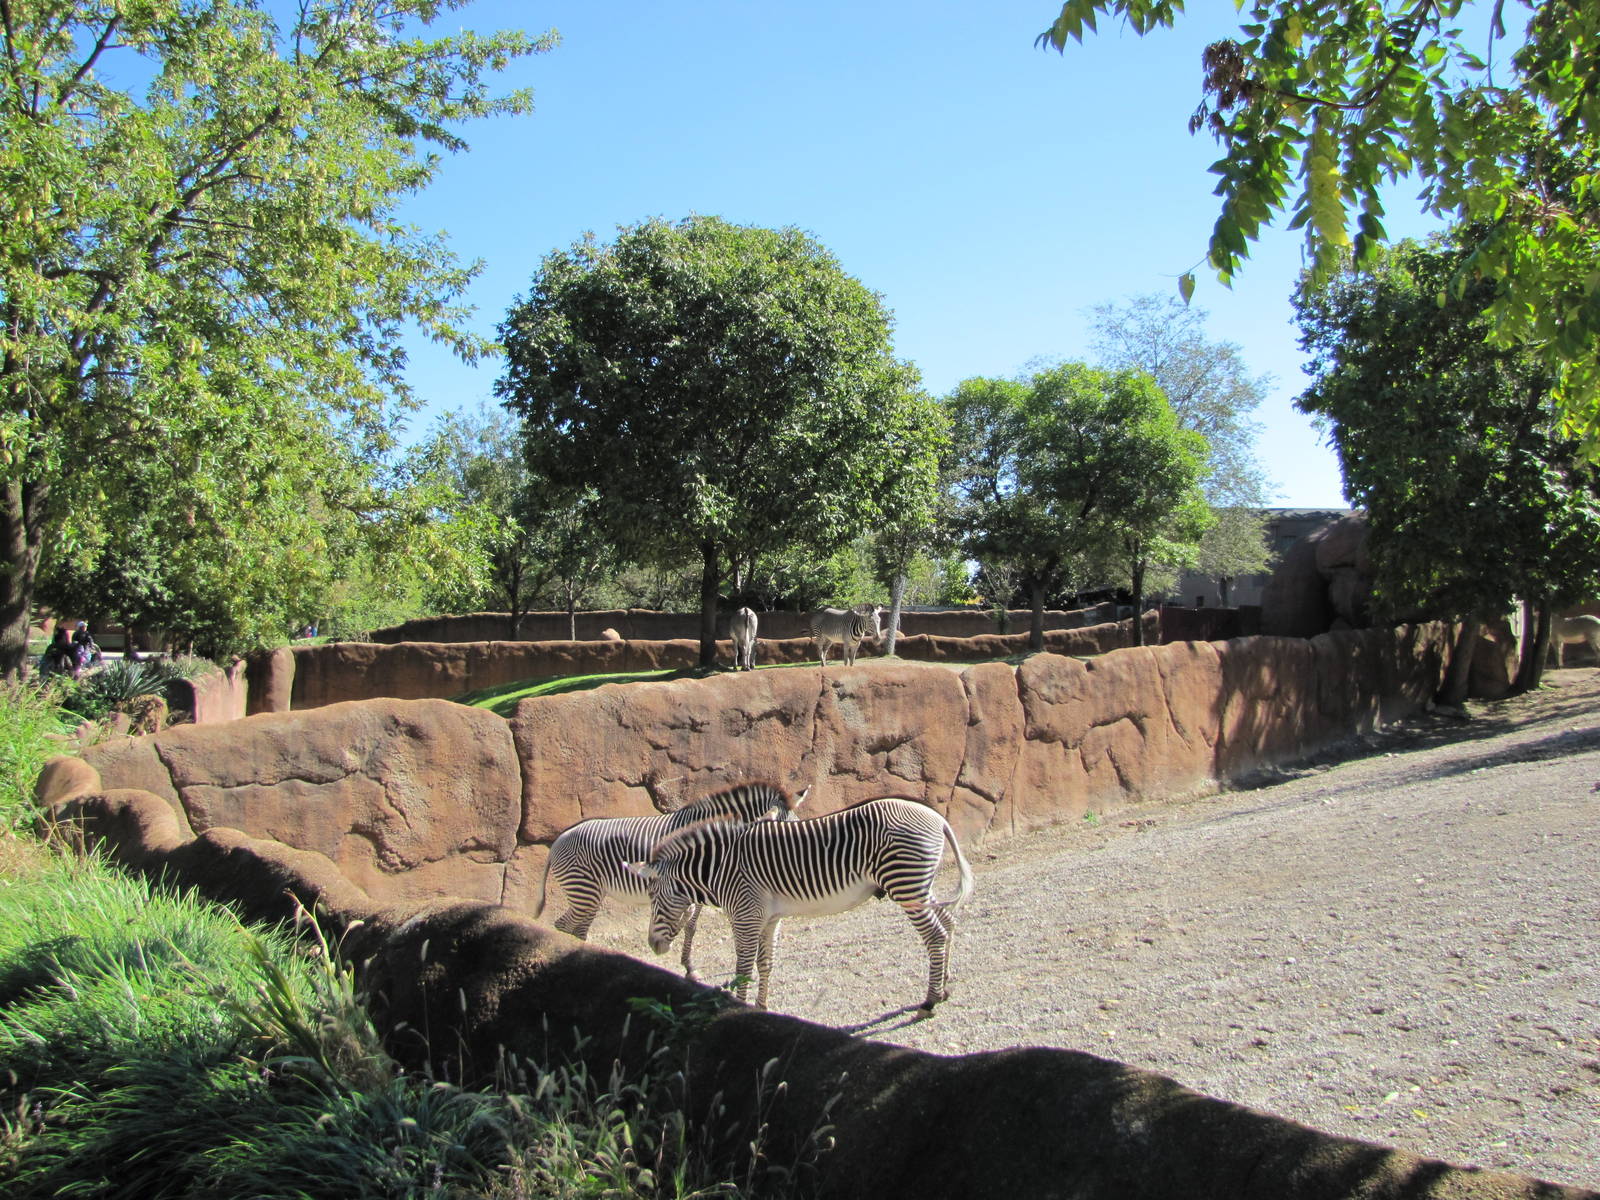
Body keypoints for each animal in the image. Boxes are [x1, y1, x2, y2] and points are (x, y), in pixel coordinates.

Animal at [533, 781, 807, 978]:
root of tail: (559, 839)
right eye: (781, 839)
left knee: (576, 928)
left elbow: (690, 926)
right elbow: (686, 923)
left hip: (590, 893)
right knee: (565, 926)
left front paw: (688, 966)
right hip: (584, 891)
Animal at [626, 796, 974, 1013]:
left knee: (935, 935)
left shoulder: (745, 914)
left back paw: (929, 1001)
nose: (653, 945)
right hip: (918, 885)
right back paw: (944, 988)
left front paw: (739, 1009)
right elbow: (764, 964)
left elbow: (743, 967)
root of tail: (936, 817)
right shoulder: (767, 917)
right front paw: (761, 1008)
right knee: (948, 921)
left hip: (905, 884)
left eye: (653, 897)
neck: (720, 867)